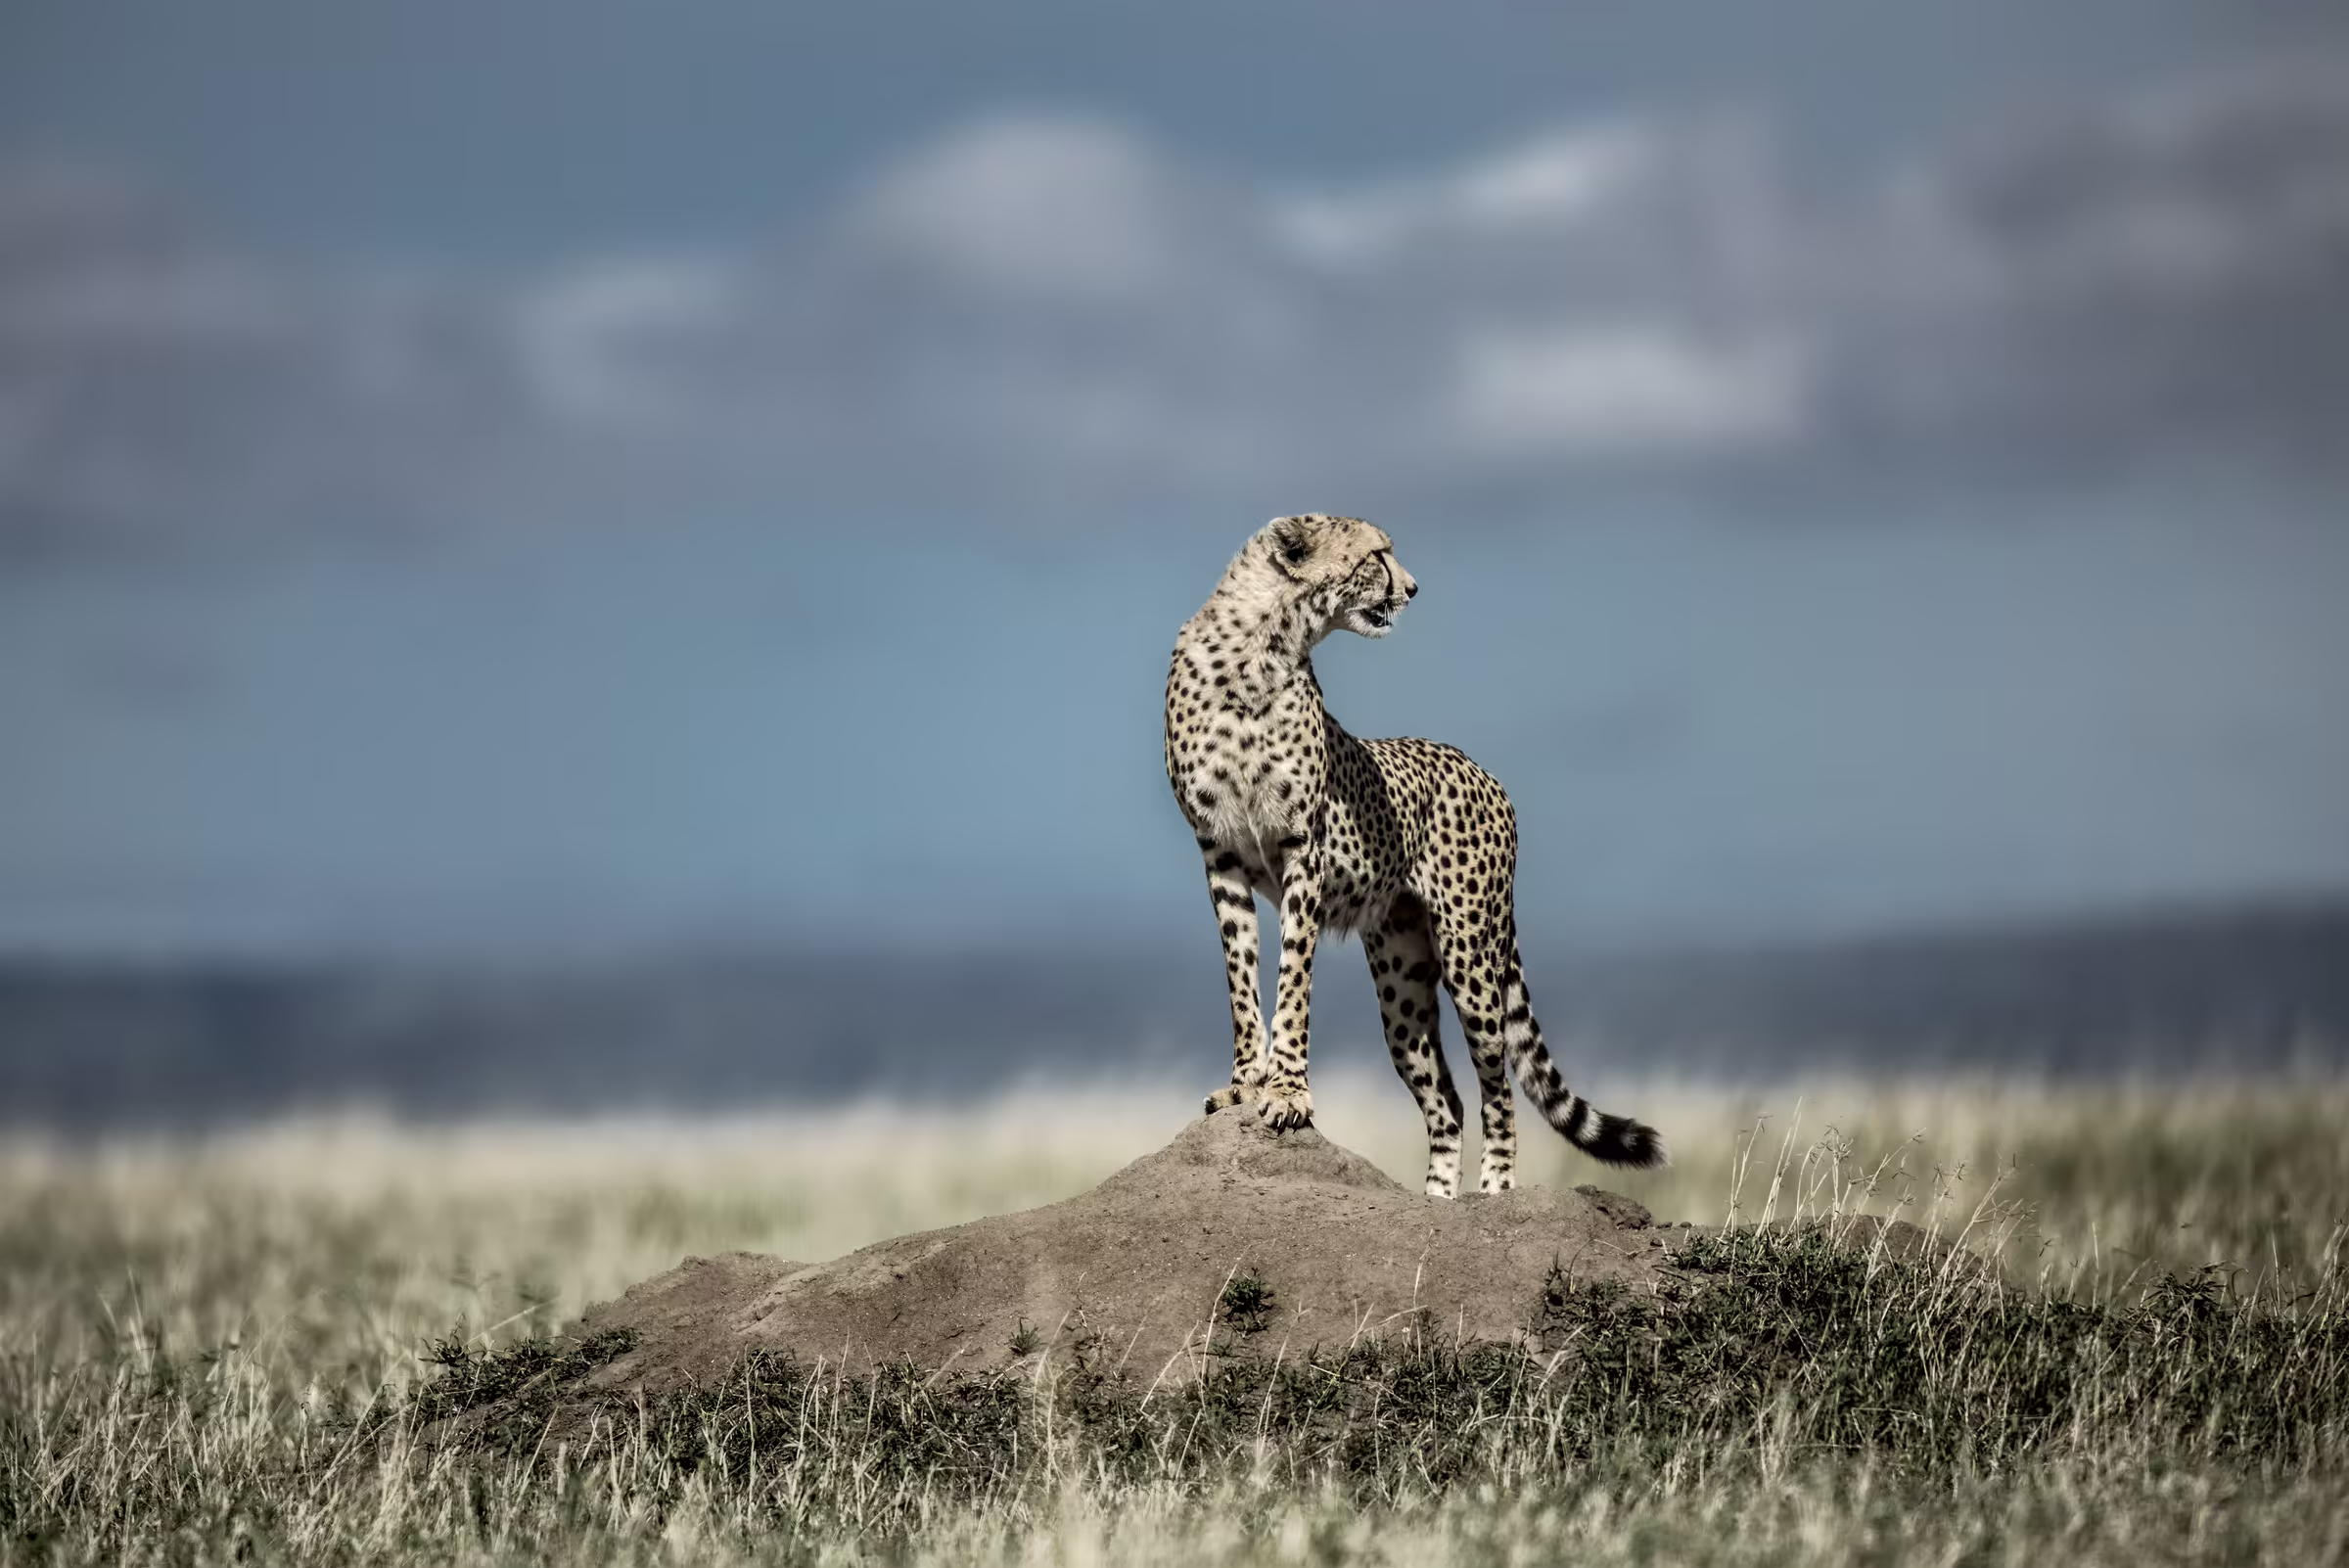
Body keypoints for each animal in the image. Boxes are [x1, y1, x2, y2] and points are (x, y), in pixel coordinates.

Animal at [1165, 513, 1665, 1197]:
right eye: (1377, 554)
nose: (1413, 587)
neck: (1259, 651)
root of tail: (1480, 768)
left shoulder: (1303, 850)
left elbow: (1293, 977)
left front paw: (1287, 1092)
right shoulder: (1221, 856)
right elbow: (1242, 979)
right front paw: (1244, 1084)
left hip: (1470, 954)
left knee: (1498, 1090)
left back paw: (1493, 1195)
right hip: (1402, 979)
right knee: (1446, 1101)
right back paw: (1436, 1203)